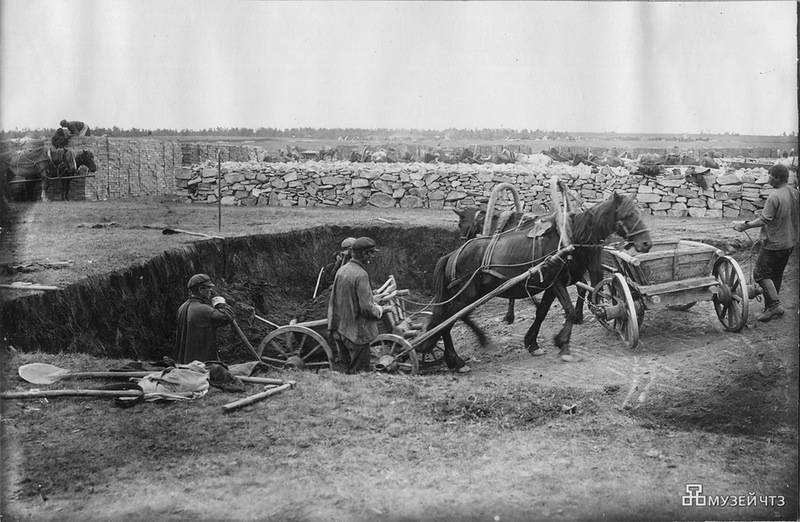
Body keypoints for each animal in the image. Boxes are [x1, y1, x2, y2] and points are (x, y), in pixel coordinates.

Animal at [418, 192, 648, 370]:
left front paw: (533, 343)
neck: (569, 240)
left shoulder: (551, 285)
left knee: (451, 319)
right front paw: (563, 346)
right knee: (447, 322)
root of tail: (453, 255)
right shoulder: (556, 283)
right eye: (628, 215)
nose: (646, 243)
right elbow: (567, 311)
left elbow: (542, 312)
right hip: (466, 295)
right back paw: (456, 361)